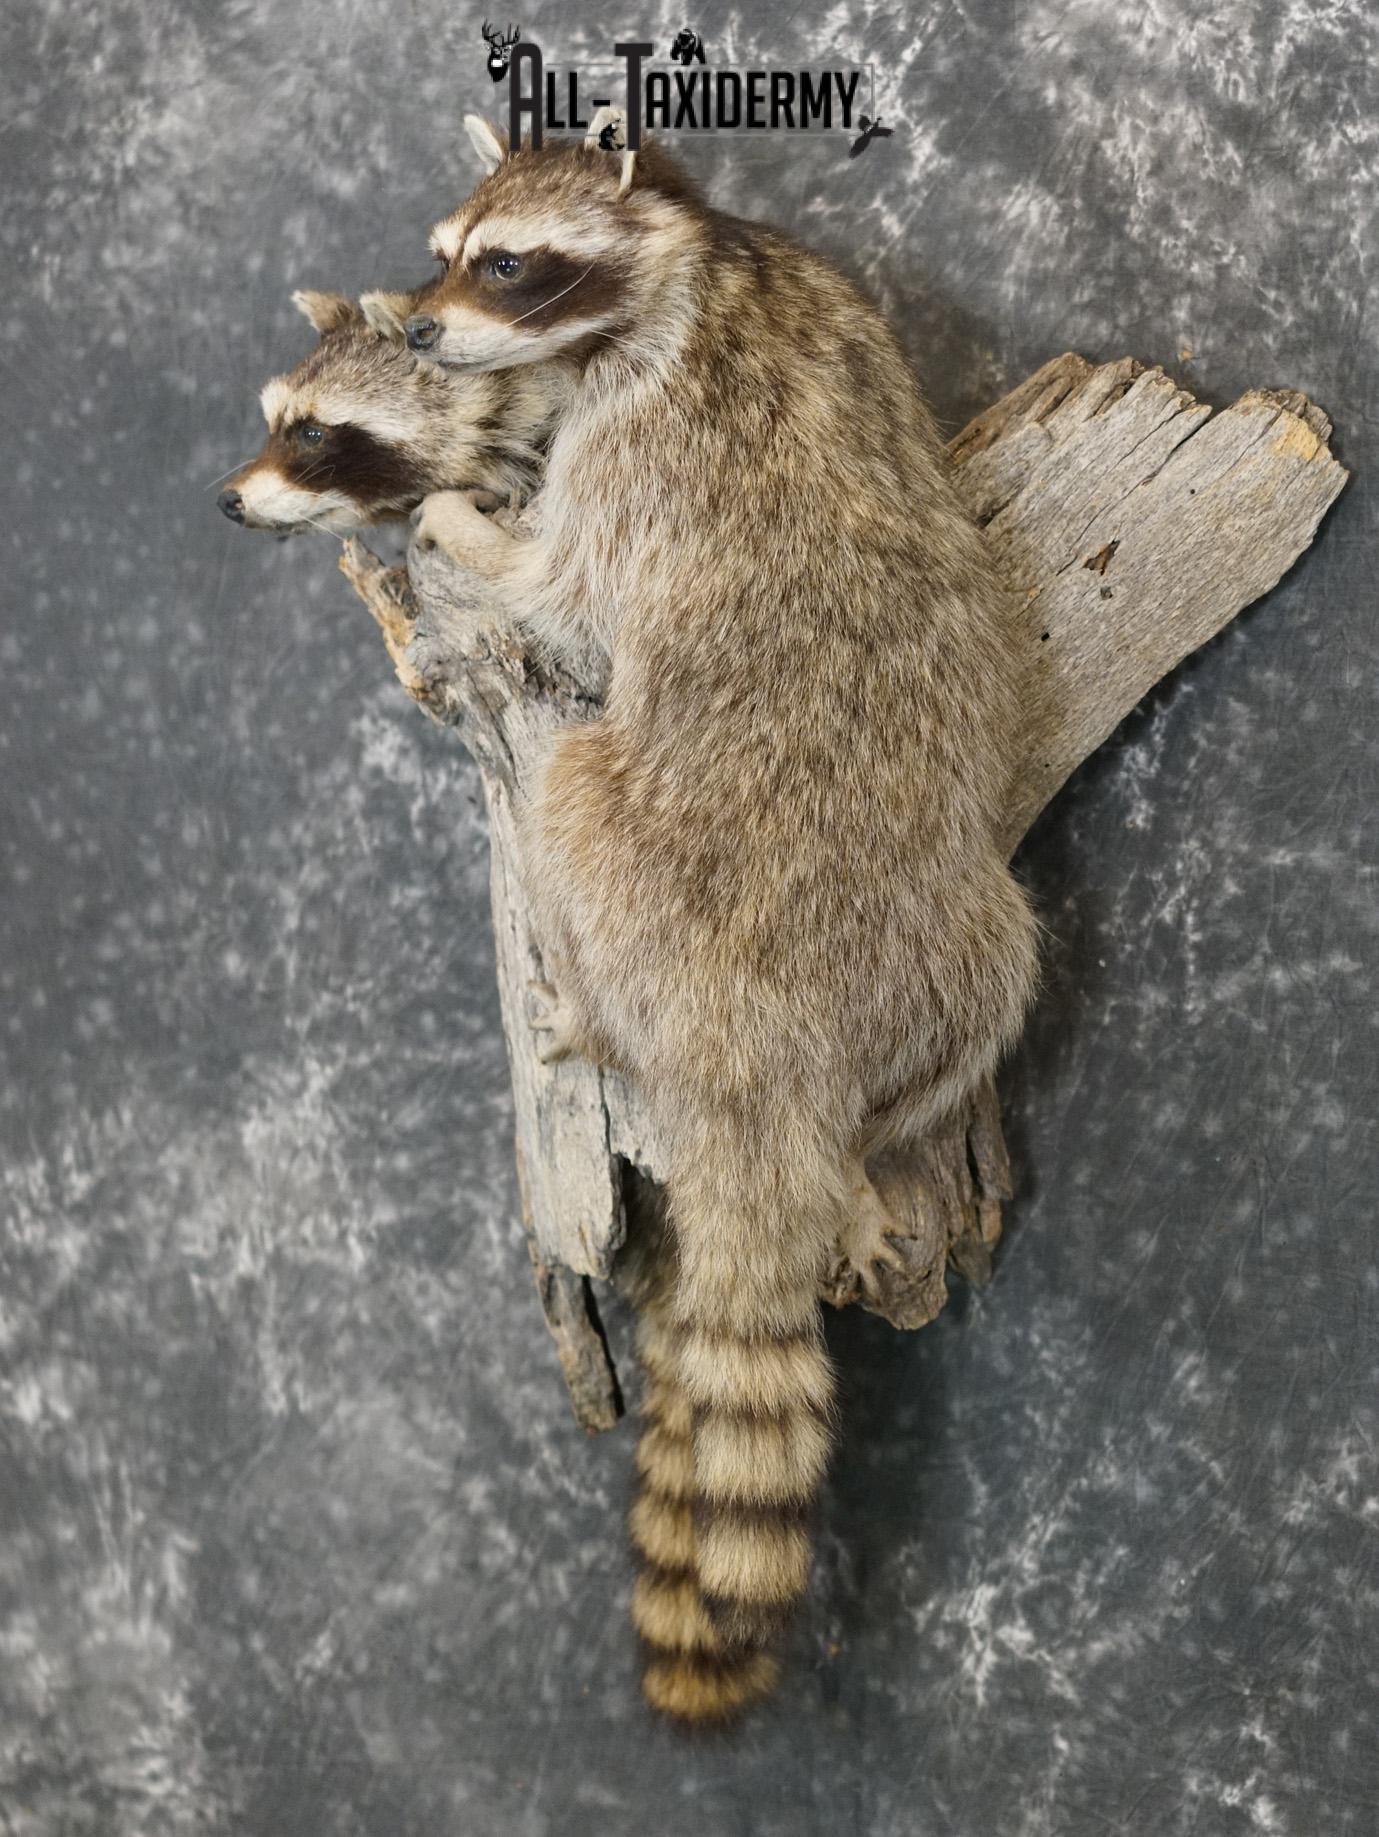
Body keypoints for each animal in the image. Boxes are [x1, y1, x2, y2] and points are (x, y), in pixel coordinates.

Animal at [398, 117, 1040, 1722]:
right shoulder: (842, 306)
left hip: (627, 844)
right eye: (442, 250)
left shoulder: (635, 440)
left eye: (509, 262)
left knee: (570, 776)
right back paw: (871, 1142)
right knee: (993, 968)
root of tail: (758, 1037)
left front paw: (463, 520)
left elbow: (562, 582)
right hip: (947, 937)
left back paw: (592, 1004)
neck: (696, 256)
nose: (422, 329)